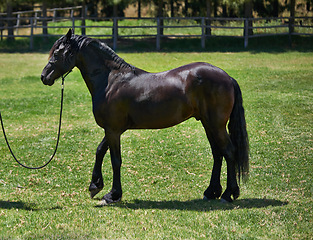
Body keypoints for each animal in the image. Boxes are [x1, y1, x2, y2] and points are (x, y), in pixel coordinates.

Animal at [40, 28, 249, 204]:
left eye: (57, 54)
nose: (44, 77)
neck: (111, 81)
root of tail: (227, 77)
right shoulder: (113, 129)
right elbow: (100, 151)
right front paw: (95, 186)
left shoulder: (113, 130)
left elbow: (115, 160)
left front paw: (112, 195)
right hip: (208, 124)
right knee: (217, 154)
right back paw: (211, 192)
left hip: (216, 125)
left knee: (229, 151)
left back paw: (228, 194)